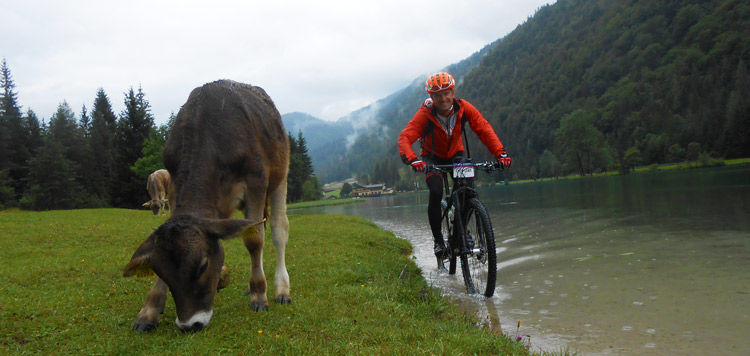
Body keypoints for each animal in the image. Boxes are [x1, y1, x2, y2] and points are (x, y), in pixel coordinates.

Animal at [123, 79, 290, 332]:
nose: (190, 324)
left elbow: (254, 241)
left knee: (278, 232)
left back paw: (281, 289)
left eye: (203, 266)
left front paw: (259, 296)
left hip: (280, 176)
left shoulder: (256, 181)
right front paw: (149, 309)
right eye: (159, 271)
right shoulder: (175, 188)